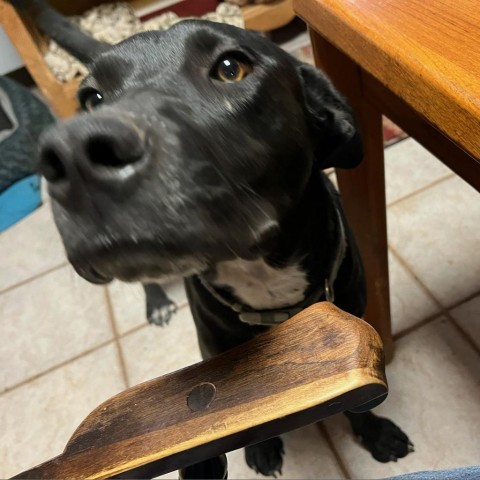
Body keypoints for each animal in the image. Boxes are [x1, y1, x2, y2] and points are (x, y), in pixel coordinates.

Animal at [14, 1, 412, 476]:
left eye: (230, 68)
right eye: (92, 99)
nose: (72, 155)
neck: (264, 281)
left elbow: (356, 401)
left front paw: (375, 433)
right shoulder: (215, 352)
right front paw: (261, 447)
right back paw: (156, 301)